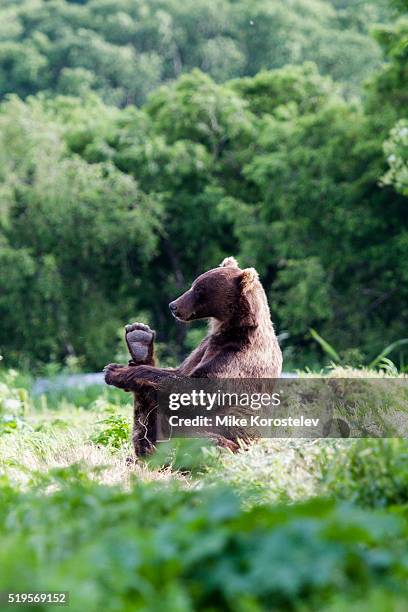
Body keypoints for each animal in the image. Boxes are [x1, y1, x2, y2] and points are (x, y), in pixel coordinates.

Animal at [105, 256, 282, 456]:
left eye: (199, 289)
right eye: (194, 284)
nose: (173, 305)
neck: (231, 330)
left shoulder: (237, 358)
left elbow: (194, 391)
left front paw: (115, 371)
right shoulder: (205, 348)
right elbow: (178, 372)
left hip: (232, 439)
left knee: (202, 441)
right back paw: (139, 338)